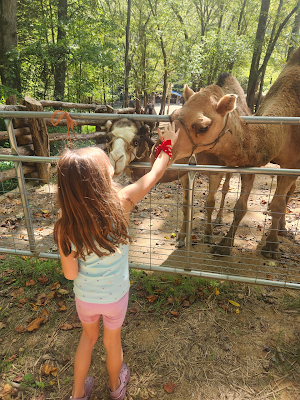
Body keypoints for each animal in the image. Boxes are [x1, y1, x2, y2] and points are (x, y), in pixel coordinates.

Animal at [106, 117, 232, 245]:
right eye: (109, 138)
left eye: (136, 141)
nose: (116, 158)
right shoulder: (184, 171)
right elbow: (186, 204)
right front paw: (181, 237)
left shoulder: (216, 171)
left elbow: (210, 203)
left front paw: (208, 235)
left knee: (225, 187)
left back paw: (219, 218)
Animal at [168, 48, 300, 260]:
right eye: (171, 117)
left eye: (203, 127)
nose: (164, 148)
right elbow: (193, 202)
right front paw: (213, 244)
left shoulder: (289, 163)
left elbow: (272, 204)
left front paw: (270, 247)